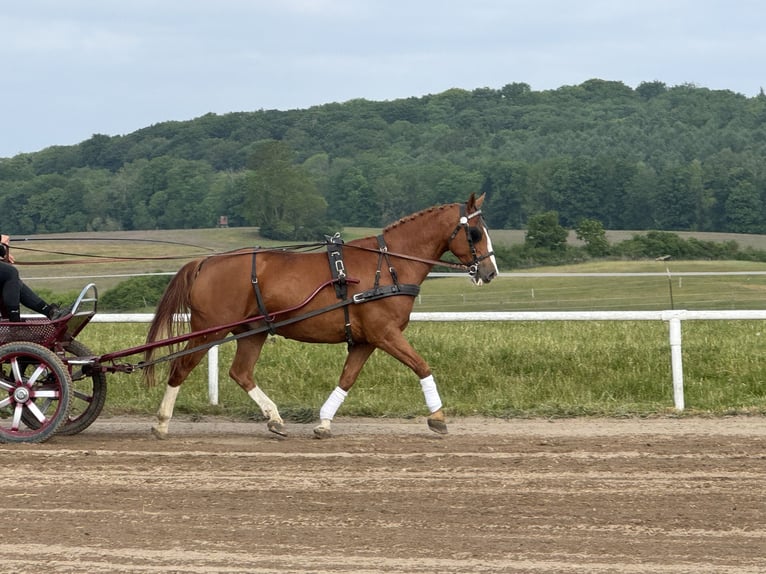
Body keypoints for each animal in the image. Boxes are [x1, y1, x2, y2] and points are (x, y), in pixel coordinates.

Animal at [143, 192, 498, 439]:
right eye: (476, 233)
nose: (490, 272)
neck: (389, 266)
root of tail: (206, 263)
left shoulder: (366, 340)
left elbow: (347, 378)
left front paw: (324, 422)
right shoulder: (385, 333)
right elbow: (422, 366)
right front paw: (438, 417)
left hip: (253, 330)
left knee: (240, 372)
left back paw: (275, 419)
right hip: (209, 330)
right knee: (180, 367)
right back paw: (161, 423)